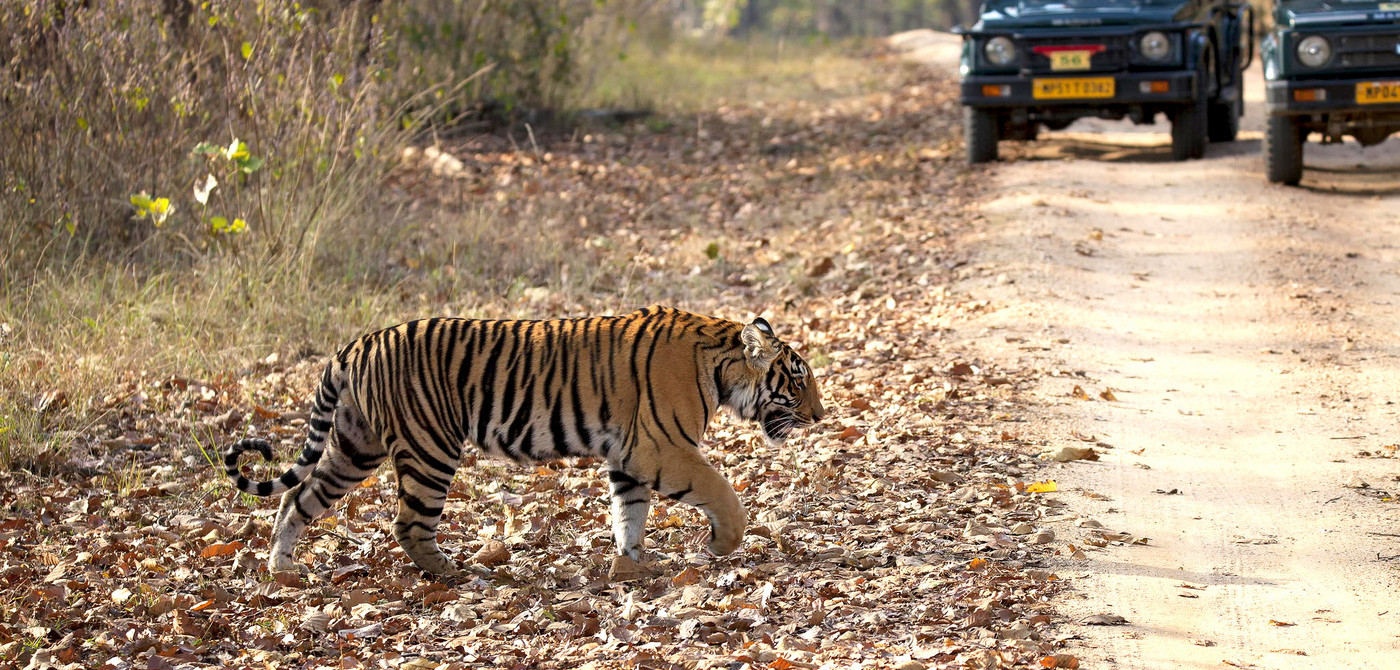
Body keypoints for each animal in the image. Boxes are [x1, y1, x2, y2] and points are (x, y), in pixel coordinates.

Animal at [224, 306, 823, 579]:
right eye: (798, 381)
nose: (821, 416)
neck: (719, 365)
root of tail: (356, 342)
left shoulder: (629, 455)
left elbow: (629, 513)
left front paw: (631, 567)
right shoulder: (660, 447)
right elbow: (722, 493)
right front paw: (718, 547)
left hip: (355, 445)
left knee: (296, 497)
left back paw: (281, 568)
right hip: (428, 447)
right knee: (408, 522)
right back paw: (456, 573)